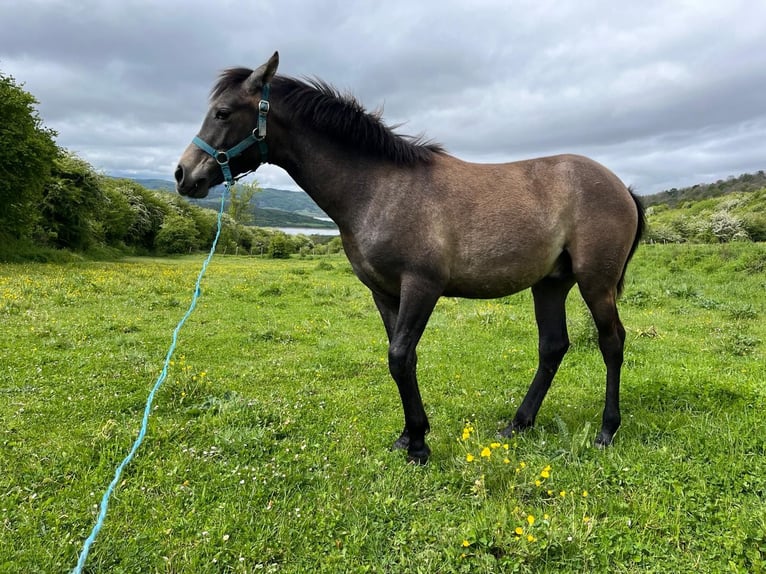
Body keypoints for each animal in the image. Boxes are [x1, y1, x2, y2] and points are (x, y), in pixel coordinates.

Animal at [176, 51, 648, 466]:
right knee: (553, 347)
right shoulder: (384, 293)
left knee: (611, 343)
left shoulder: (422, 286)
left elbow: (401, 356)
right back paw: (518, 424)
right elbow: (400, 359)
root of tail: (621, 187)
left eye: (222, 113)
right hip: (550, 284)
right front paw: (408, 436)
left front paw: (419, 445)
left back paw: (607, 430)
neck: (378, 188)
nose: (183, 175)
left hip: (595, 283)